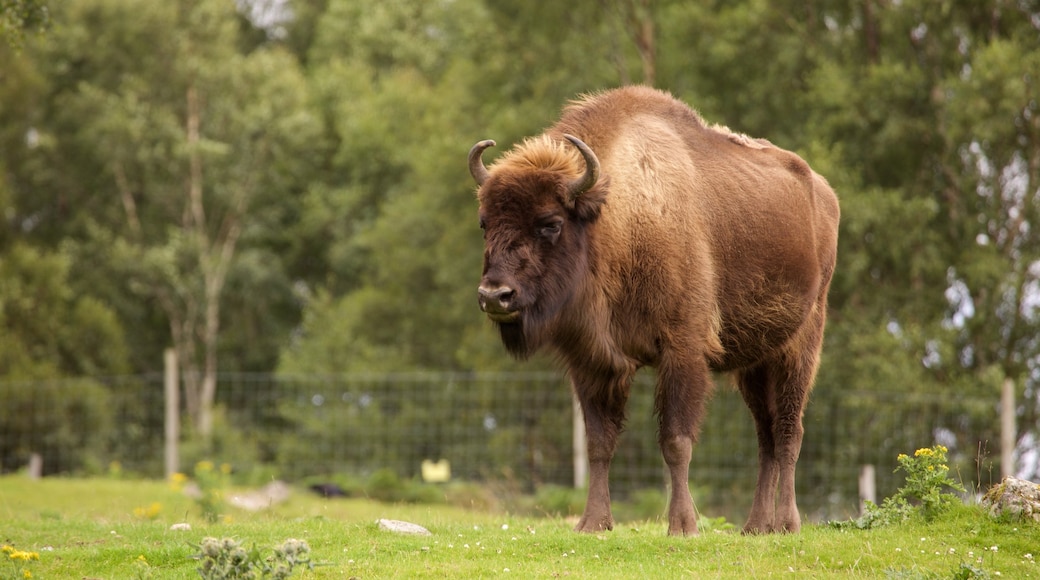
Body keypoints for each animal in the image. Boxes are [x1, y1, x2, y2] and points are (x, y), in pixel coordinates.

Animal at [467, 85, 840, 536]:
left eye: (550, 223)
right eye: (485, 223)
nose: (494, 295)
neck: (618, 216)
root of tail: (823, 193)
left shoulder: (683, 351)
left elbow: (675, 441)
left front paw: (682, 525)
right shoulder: (593, 362)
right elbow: (599, 442)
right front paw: (593, 522)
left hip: (799, 348)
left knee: (787, 431)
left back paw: (786, 523)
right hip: (754, 363)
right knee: (765, 435)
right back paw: (754, 526)